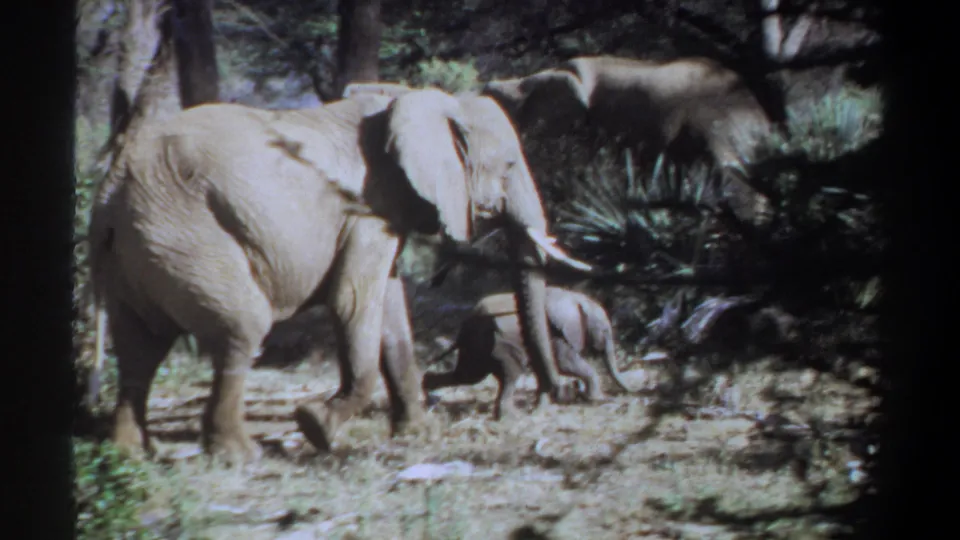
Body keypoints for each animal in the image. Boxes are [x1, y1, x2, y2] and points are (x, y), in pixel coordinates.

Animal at [86, 87, 593, 463]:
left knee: (140, 348)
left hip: (139, 249)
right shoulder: (367, 212)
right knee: (240, 328)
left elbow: (391, 312)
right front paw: (317, 428)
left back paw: (130, 452)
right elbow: (354, 301)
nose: (556, 395)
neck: (414, 100)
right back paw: (239, 455)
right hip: (186, 234)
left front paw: (418, 434)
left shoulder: (384, 216)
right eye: (508, 167)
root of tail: (110, 191)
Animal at [422, 286, 633, 419]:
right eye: (605, 331)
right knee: (510, 373)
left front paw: (544, 405)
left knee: (468, 375)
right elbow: (564, 364)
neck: (574, 298)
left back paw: (429, 398)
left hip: (476, 347)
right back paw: (511, 417)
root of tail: (465, 328)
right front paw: (595, 399)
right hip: (499, 343)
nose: (630, 393)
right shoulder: (554, 334)